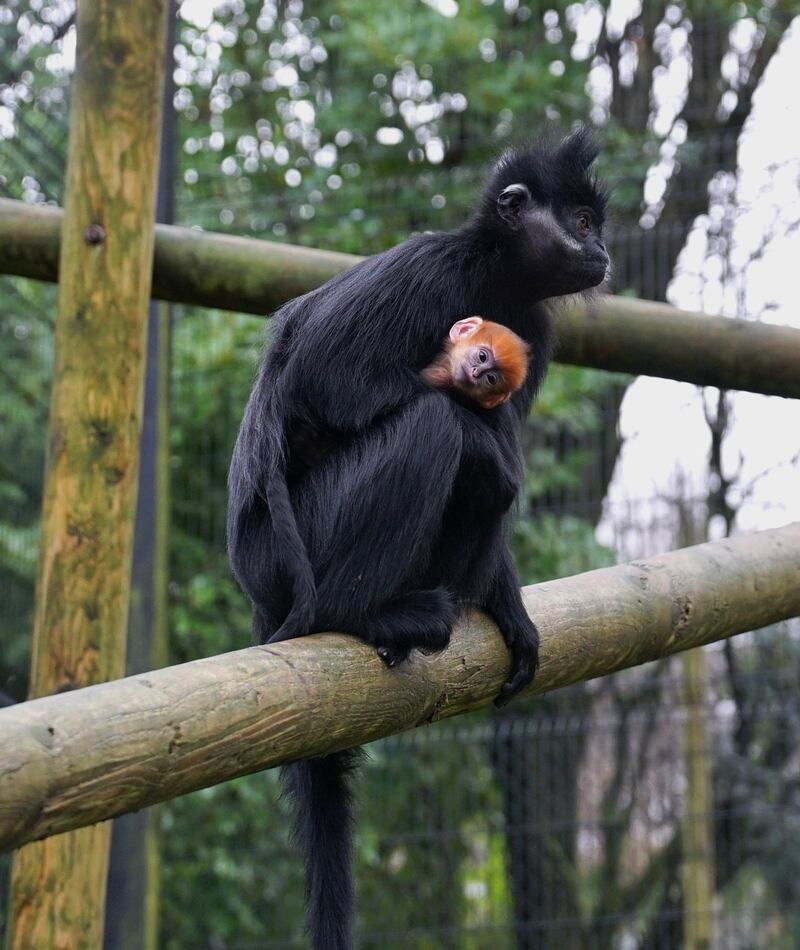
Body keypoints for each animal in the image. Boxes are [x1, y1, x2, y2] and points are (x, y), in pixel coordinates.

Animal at [225, 130, 608, 950]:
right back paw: (365, 613)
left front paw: (511, 610)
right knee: (434, 428)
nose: (604, 250)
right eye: (583, 221)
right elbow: (324, 378)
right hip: (292, 549)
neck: (493, 278)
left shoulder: (534, 330)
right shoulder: (431, 269)